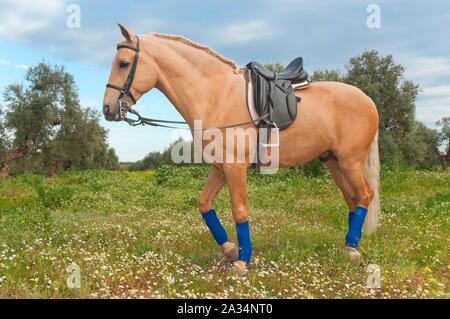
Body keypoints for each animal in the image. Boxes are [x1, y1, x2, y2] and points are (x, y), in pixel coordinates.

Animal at [103, 25, 380, 274]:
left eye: (123, 63)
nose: (108, 109)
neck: (216, 95)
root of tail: (367, 99)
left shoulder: (234, 167)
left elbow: (239, 211)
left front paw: (242, 261)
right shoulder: (220, 167)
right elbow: (204, 204)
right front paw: (230, 250)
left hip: (350, 161)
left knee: (364, 194)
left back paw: (353, 251)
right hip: (333, 162)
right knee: (352, 199)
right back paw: (349, 247)